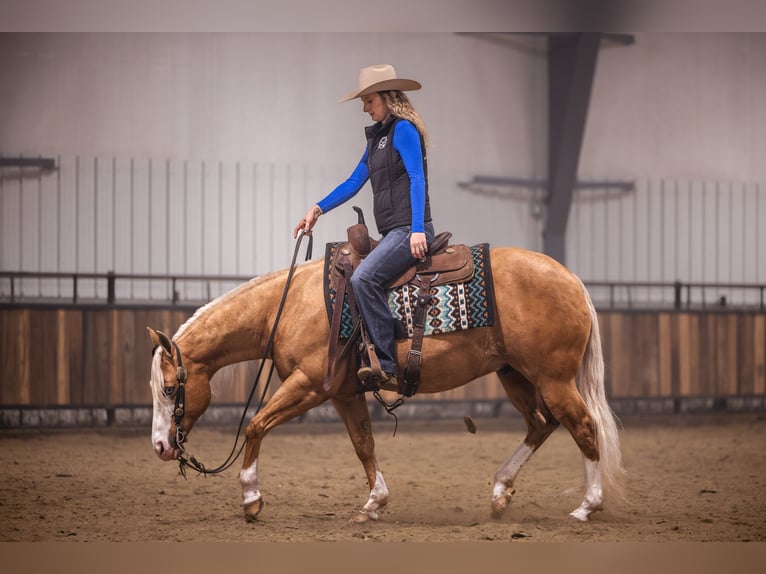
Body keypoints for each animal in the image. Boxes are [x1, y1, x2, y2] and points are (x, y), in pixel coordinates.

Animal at [148, 244, 625, 524]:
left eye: (170, 389)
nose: (161, 447)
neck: (289, 306)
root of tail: (573, 280)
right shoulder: (343, 394)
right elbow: (363, 444)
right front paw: (374, 502)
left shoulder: (309, 386)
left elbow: (255, 425)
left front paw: (251, 497)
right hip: (515, 375)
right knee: (541, 424)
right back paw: (500, 492)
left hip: (553, 378)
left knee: (583, 427)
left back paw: (586, 506)